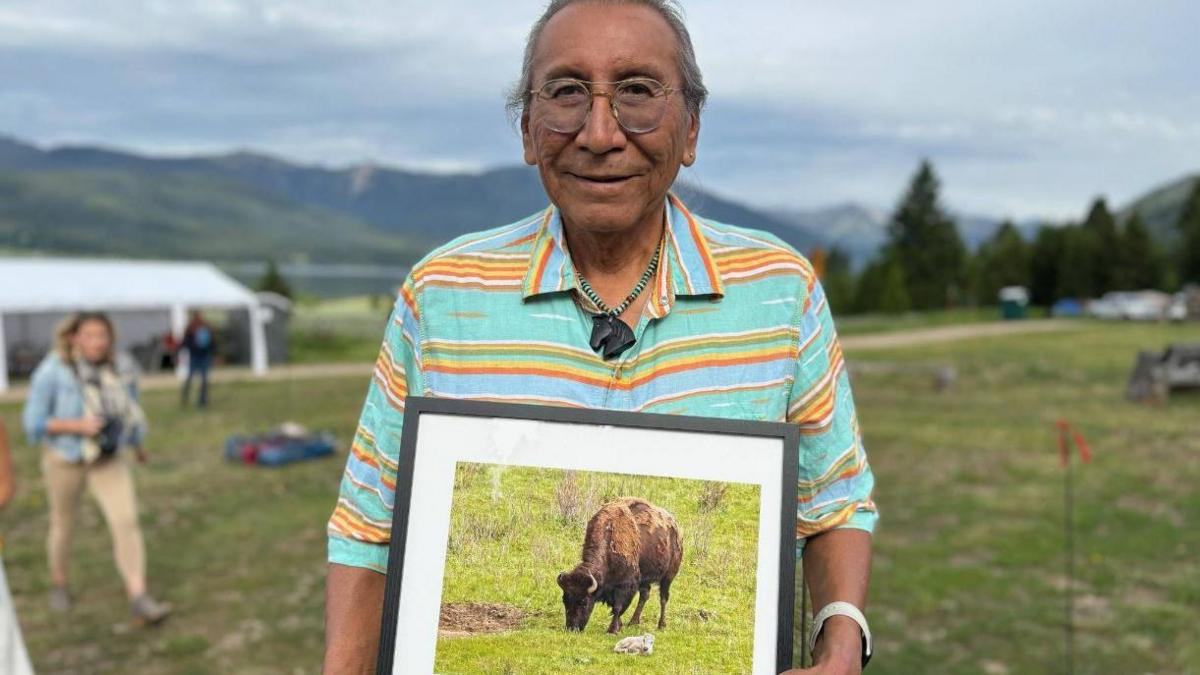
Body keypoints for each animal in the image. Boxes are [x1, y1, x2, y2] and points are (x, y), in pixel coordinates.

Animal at [554, 494, 681, 629]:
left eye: (584, 602)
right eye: (565, 600)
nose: (572, 628)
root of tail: (675, 526)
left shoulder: (625, 585)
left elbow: (618, 607)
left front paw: (613, 629)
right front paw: (619, 625)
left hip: (668, 577)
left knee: (663, 598)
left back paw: (661, 625)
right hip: (645, 579)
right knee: (644, 595)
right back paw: (633, 622)